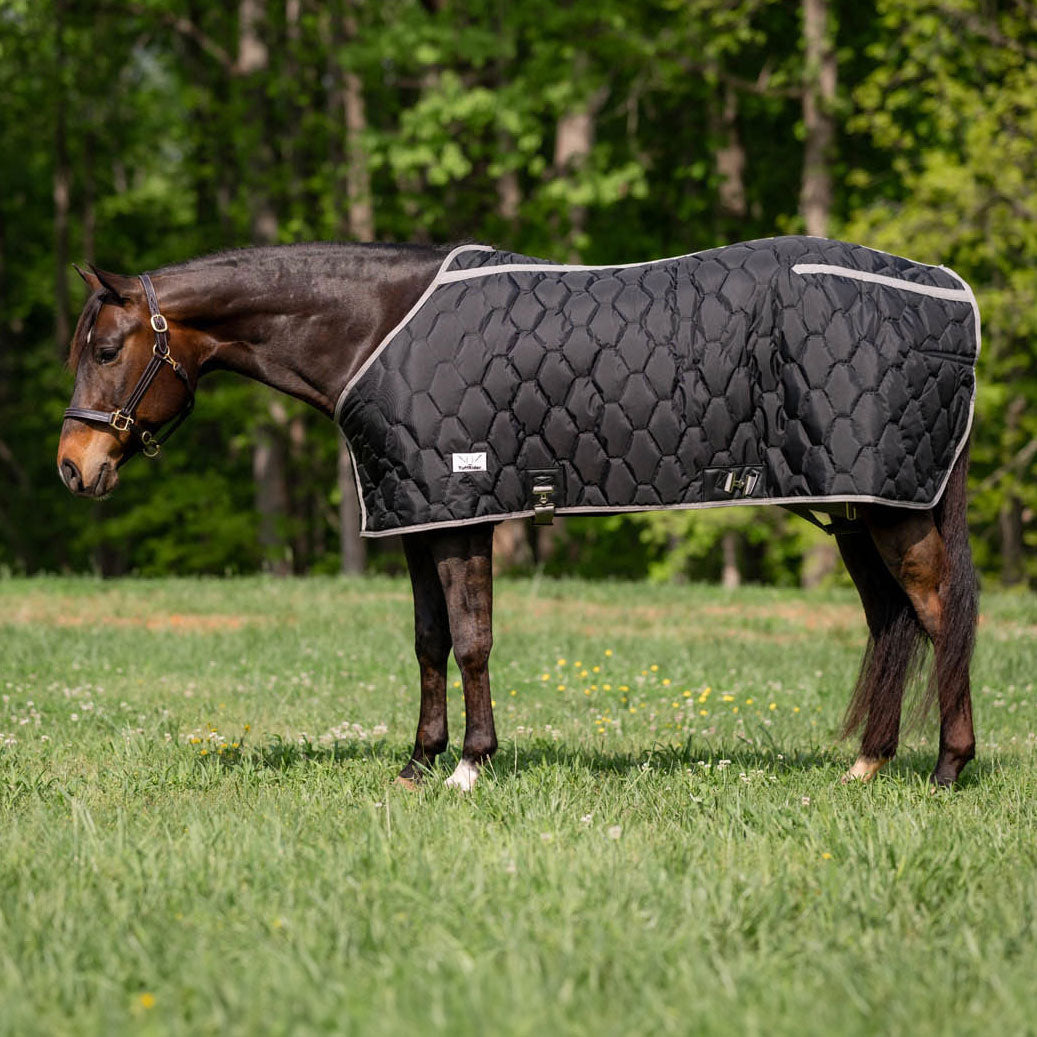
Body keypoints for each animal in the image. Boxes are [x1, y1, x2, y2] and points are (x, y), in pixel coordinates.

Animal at [57, 241, 978, 790]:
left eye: (104, 350)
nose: (74, 466)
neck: (375, 329)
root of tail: (954, 303)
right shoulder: (418, 515)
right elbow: (429, 641)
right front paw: (417, 762)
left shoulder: (463, 512)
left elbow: (471, 640)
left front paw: (469, 765)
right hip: (858, 507)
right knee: (890, 618)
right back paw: (866, 764)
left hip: (892, 511)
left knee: (937, 613)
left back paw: (946, 768)